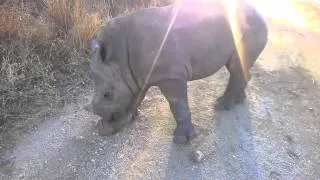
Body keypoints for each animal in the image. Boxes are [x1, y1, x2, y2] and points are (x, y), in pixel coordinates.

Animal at [85, 0, 268, 143]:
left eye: (108, 95)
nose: (102, 131)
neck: (120, 58)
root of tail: (259, 13)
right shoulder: (139, 75)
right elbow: (136, 97)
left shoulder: (170, 75)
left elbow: (177, 104)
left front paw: (182, 139)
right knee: (237, 67)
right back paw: (238, 100)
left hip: (251, 26)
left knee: (236, 66)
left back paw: (222, 105)